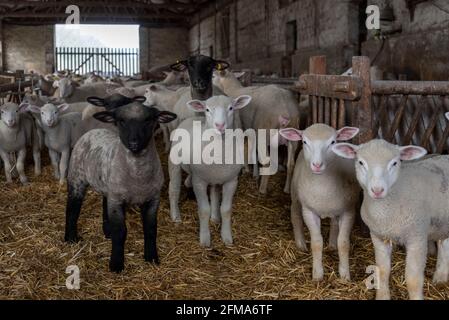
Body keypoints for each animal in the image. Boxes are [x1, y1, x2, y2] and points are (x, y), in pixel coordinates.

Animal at [65, 102, 177, 272]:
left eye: (148, 120)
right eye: (121, 121)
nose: (134, 143)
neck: (138, 174)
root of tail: (93, 131)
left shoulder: (152, 199)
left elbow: (151, 229)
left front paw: (151, 257)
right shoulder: (117, 200)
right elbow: (120, 231)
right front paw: (116, 264)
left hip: (109, 187)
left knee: (104, 203)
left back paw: (107, 231)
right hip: (76, 179)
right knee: (72, 208)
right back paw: (70, 238)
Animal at [169, 94, 252, 246]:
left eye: (231, 108)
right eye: (207, 109)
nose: (220, 125)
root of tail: (191, 118)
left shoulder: (231, 181)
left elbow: (226, 210)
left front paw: (227, 237)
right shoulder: (199, 182)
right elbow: (203, 210)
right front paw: (205, 239)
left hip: (214, 177)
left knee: (213, 192)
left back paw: (215, 217)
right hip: (174, 162)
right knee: (174, 188)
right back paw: (176, 216)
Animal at [280, 124, 360, 282]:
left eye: (333, 142)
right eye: (305, 142)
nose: (317, 165)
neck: (323, 187)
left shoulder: (348, 211)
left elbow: (344, 243)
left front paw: (345, 275)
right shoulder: (309, 211)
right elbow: (317, 243)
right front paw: (317, 275)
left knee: (334, 223)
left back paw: (332, 244)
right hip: (296, 196)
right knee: (295, 216)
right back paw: (300, 244)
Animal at [330, 139, 448, 298]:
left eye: (394, 163)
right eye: (361, 162)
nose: (377, 190)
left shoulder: (417, 238)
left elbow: (413, 279)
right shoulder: (378, 236)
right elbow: (382, 271)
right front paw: (382, 296)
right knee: (444, 244)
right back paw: (440, 279)